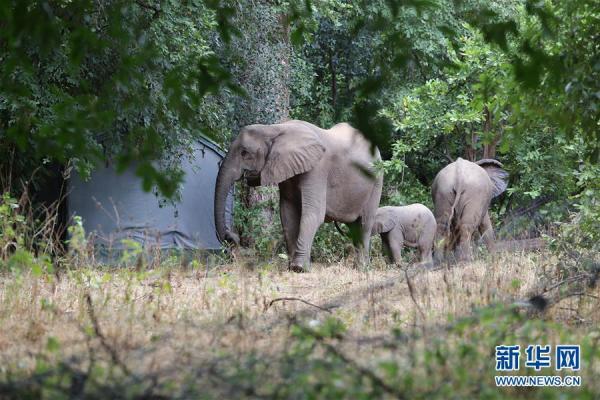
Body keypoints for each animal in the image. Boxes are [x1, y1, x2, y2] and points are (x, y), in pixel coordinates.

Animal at [216, 120, 382, 274]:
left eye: (244, 153)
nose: (233, 238)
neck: (274, 129)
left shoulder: (317, 169)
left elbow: (313, 214)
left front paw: (299, 268)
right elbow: (287, 214)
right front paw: (292, 268)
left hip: (377, 181)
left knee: (364, 224)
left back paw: (363, 269)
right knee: (354, 227)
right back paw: (358, 268)